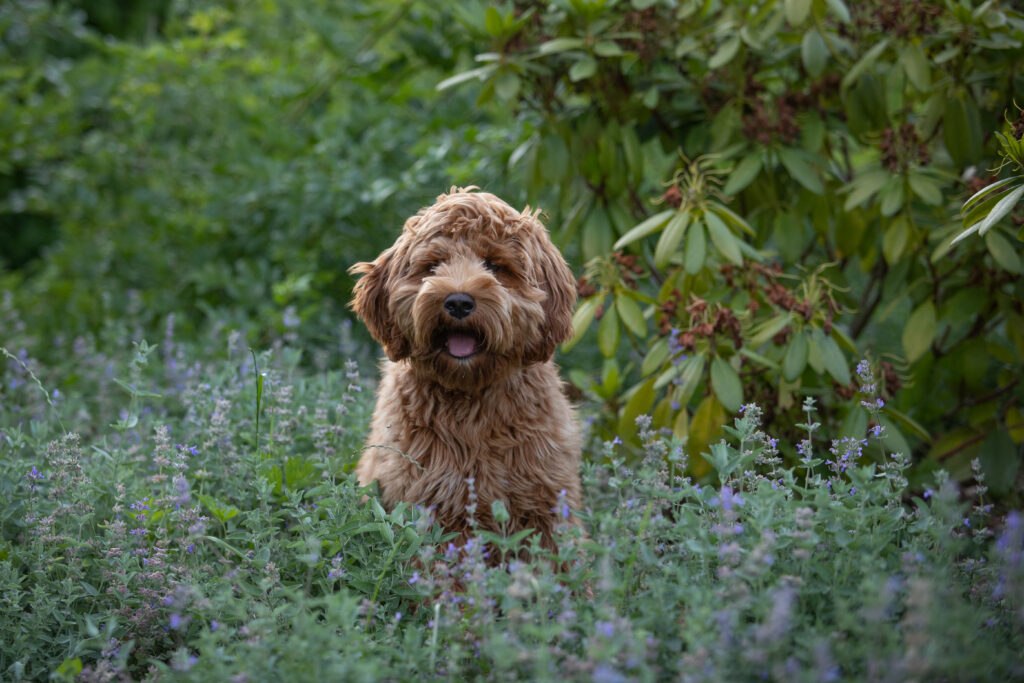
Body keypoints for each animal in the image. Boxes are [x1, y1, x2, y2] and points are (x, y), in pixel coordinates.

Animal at [348, 185, 581, 557]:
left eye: (494, 265)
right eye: (433, 266)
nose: (458, 302)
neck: (471, 397)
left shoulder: (547, 504)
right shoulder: (435, 509)